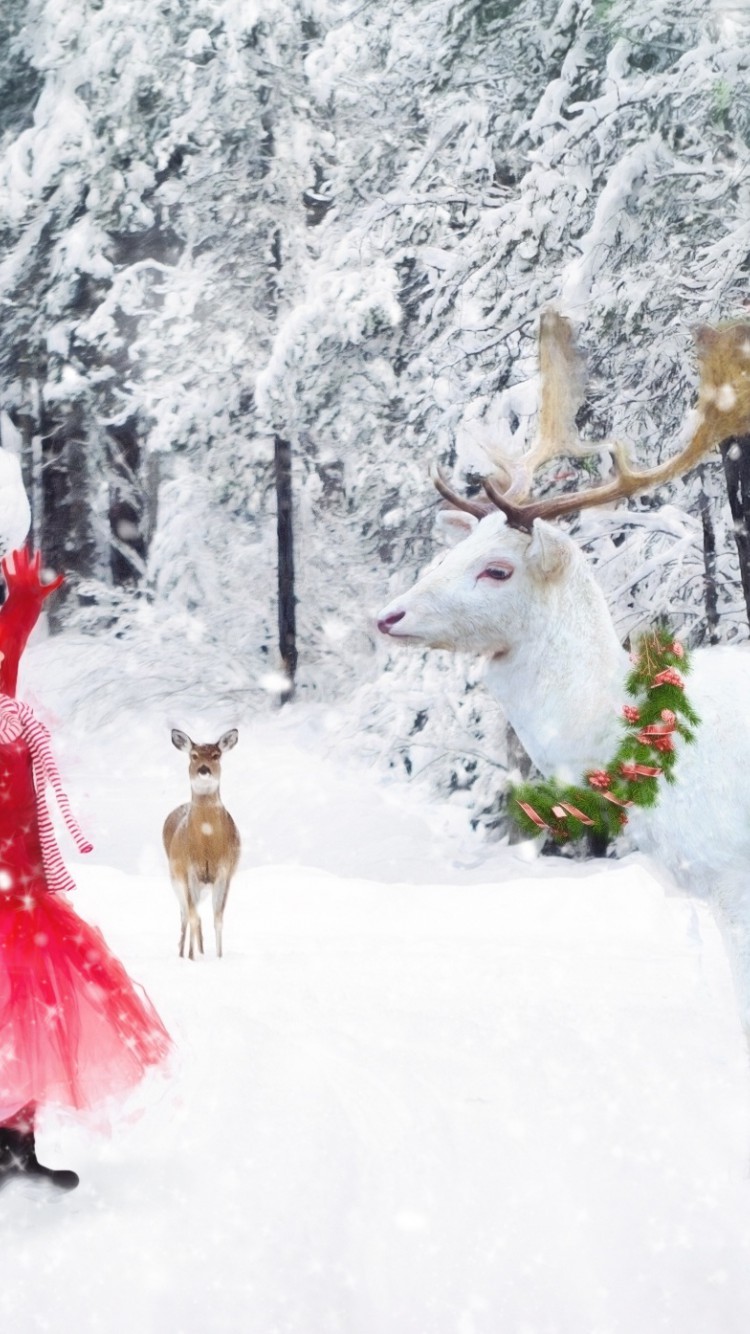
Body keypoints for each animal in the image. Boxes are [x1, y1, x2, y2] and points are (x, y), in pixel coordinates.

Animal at [162, 731, 238, 960]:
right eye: (193, 755)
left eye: (216, 755)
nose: (203, 769)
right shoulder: (189, 871)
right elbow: (193, 915)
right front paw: (192, 958)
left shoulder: (225, 871)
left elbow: (218, 918)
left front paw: (219, 957)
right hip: (175, 878)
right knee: (186, 914)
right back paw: (183, 953)